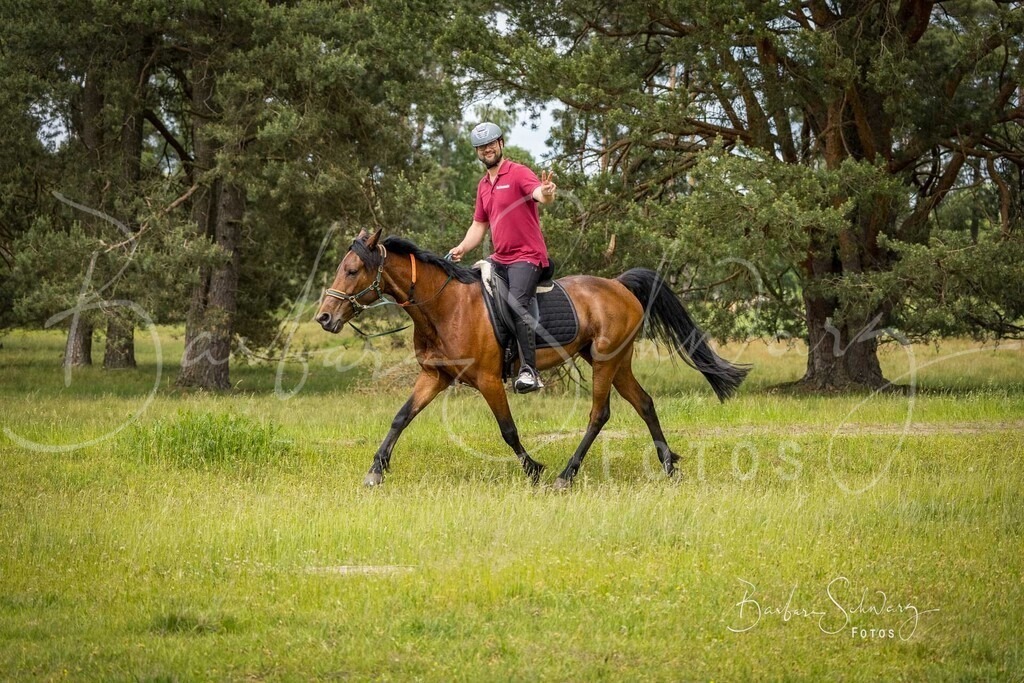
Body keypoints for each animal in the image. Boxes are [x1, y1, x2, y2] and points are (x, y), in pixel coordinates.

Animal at [315, 228, 750, 488]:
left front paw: (534, 470)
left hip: (605, 362)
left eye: (352, 270)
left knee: (599, 414)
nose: (324, 317)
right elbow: (402, 416)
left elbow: (507, 430)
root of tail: (618, 284)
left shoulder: (489, 380)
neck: (444, 306)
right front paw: (376, 470)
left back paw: (565, 475)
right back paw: (669, 466)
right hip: (616, 361)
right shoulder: (434, 376)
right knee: (644, 403)